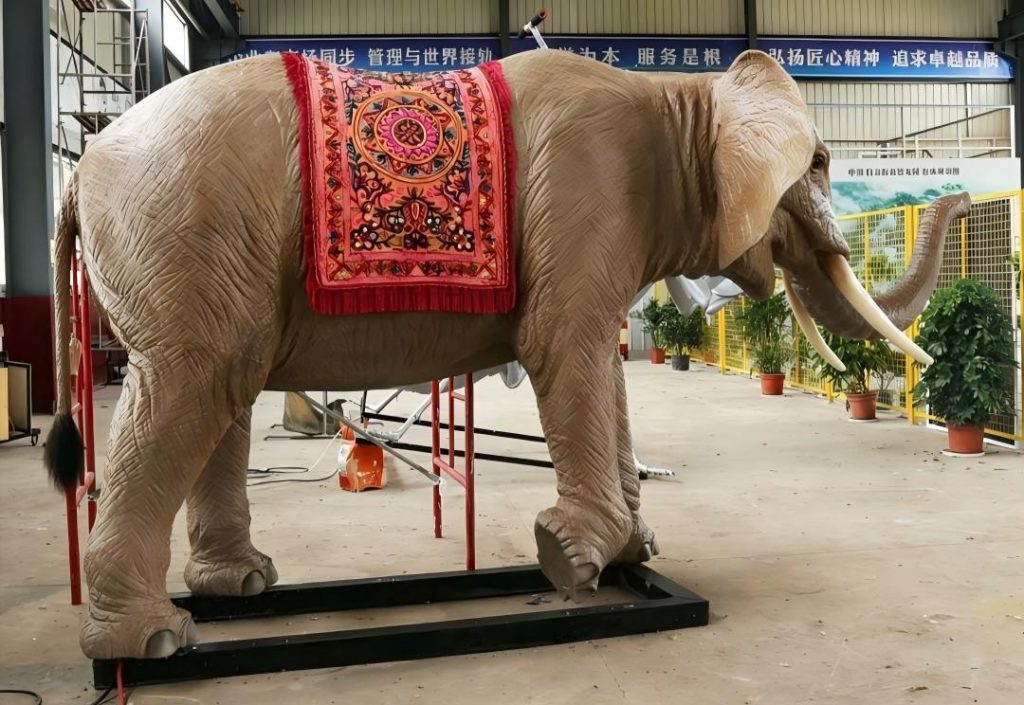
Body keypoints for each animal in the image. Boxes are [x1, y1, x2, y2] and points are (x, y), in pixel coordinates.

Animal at [44, 46, 970, 660]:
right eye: (819, 161)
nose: (958, 197)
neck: (677, 94)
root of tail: (80, 166)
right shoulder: (584, 192)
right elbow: (569, 349)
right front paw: (574, 561)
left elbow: (602, 363)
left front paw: (633, 556)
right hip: (183, 231)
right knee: (191, 389)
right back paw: (154, 643)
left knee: (223, 392)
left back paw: (241, 590)